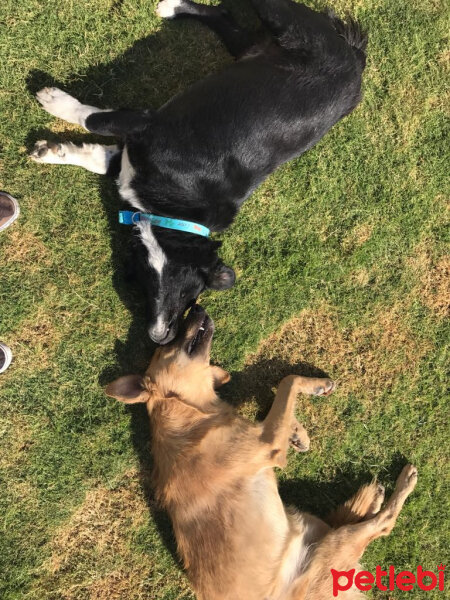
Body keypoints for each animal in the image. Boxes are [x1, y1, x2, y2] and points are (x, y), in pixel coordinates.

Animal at [32, 0, 370, 344]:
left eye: (190, 297)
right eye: (184, 290)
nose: (162, 337)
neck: (174, 209)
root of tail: (354, 59)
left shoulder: (135, 143)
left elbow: (97, 153)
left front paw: (53, 147)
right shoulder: (145, 123)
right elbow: (93, 121)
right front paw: (58, 104)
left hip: (251, 46)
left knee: (225, 18)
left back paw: (174, 8)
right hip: (283, 24)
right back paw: (173, 8)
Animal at [106, 308, 418, 596]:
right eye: (165, 348)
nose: (194, 307)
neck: (189, 413)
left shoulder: (264, 432)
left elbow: (281, 404)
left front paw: (298, 433)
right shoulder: (267, 442)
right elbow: (288, 381)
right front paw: (315, 387)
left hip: (313, 526)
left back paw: (374, 497)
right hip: (332, 544)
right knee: (381, 525)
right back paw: (403, 483)